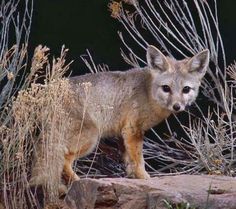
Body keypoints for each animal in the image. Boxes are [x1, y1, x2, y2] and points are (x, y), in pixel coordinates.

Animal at [30, 45, 210, 186]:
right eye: (166, 88)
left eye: (186, 89)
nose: (177, 106)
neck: (148, 91)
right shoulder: (133, 130)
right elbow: (138, 159)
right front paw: (144, 178)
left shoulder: (124, 134)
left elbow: (129, 160)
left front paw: (132, 177)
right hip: (90, 137)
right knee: (64, 160)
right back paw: (77, 181)